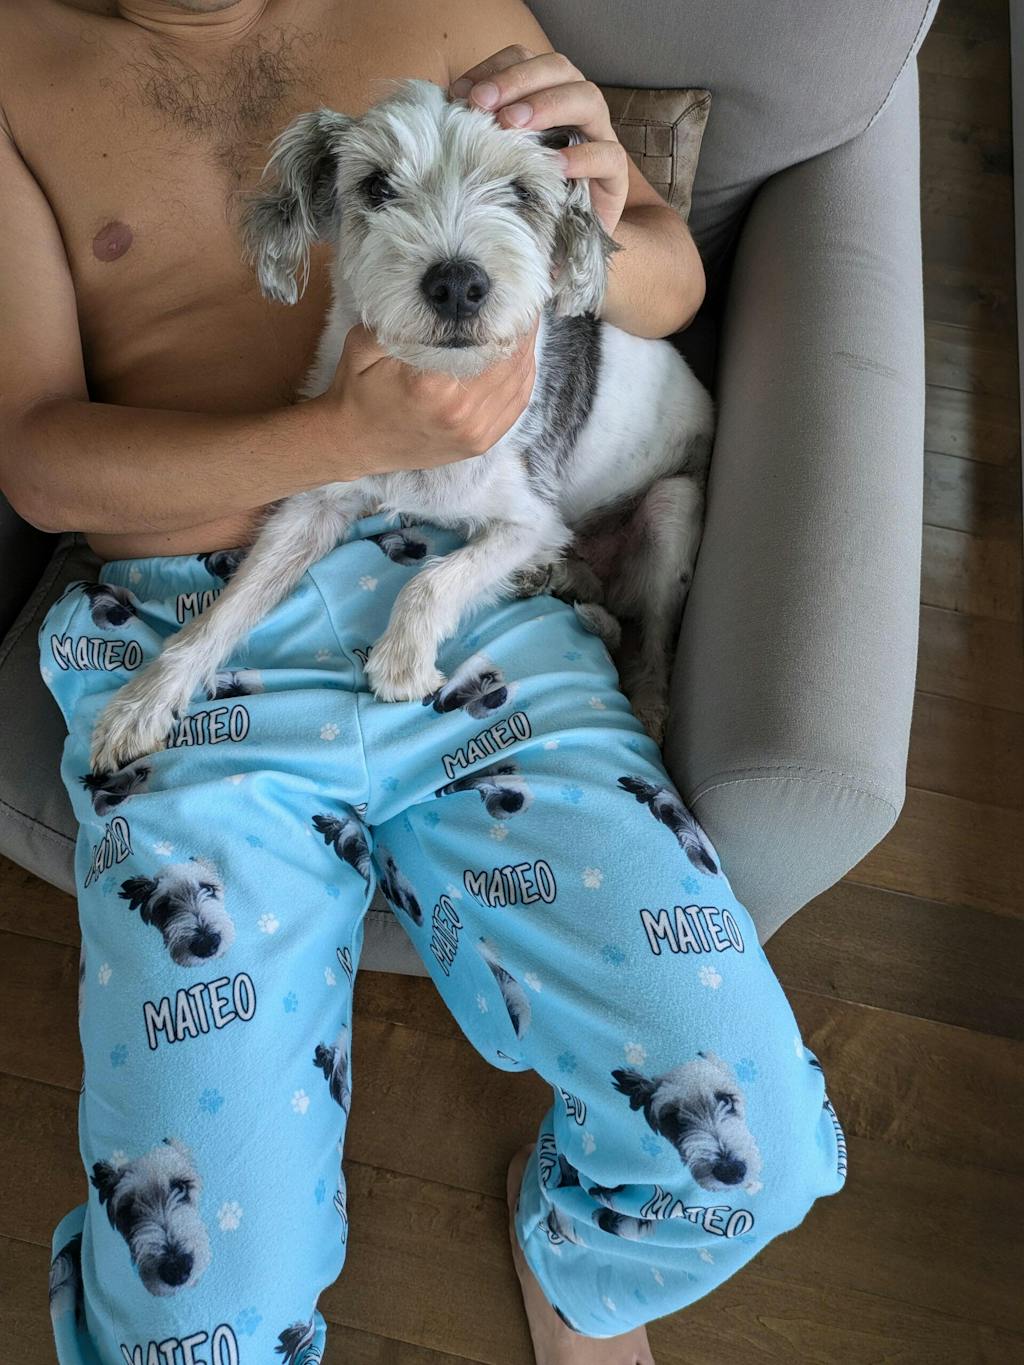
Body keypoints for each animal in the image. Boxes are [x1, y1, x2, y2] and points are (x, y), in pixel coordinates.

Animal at [90, 80, 713, 773]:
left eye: (522, 192)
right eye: (376, 186)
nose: (458, 284)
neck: (436, 386)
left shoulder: (532, 518)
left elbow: (433, 580)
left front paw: (401, 660)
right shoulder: (316, 501)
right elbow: (226, 608)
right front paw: (144, 701)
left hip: (671, 505)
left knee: (653, 638)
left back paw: (646, 697)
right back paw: (551, 576)